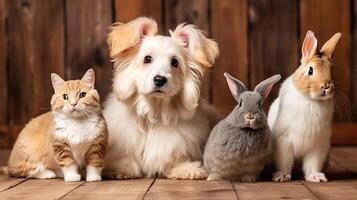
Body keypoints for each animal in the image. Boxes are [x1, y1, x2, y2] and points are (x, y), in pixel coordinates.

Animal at [103, 17, 218, 180]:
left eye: (175, 62)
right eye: (147, 59)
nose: (160, 80)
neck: (154, 113)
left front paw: (187, 169)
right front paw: (120, 168)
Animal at [268, 30, 340, 182]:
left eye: (332, 71)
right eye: (310, 71)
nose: (326, 86)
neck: (311, 100)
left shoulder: (318, 145)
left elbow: (313, 163)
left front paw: (316, 177)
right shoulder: (283, 141)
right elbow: (284, 161)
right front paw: (281, 176)